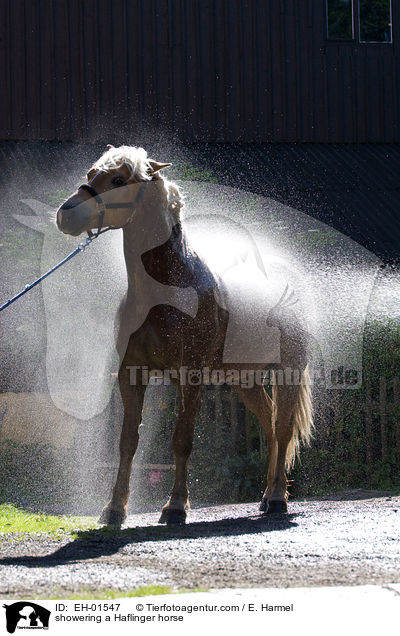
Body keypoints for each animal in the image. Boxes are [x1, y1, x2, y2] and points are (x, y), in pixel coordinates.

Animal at [57, 145, 312, 528]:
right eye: (91, 174)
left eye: (118, 179)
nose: (66, 214)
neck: (166, 288)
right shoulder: (131, 374)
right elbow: (127, 441)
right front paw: (114, 509)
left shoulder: (190, 376)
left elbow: (182, 440)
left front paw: (176, 506)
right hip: (246, 380)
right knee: (268, 425)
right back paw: (267, 496)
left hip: (288, 372)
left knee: (281, 429)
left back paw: (279, 499)